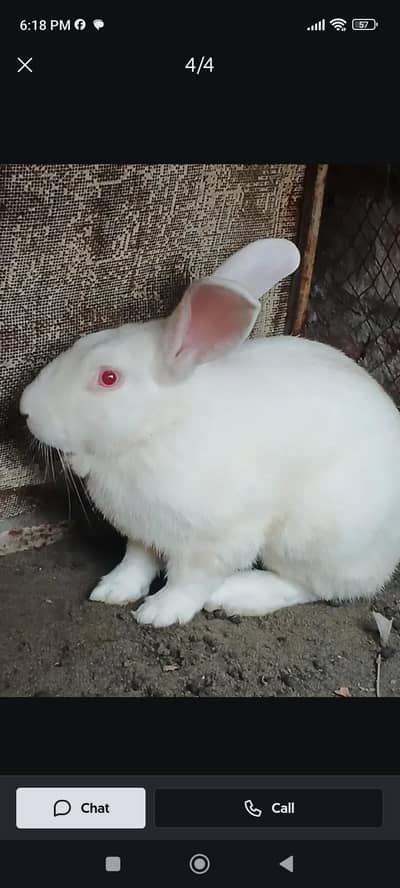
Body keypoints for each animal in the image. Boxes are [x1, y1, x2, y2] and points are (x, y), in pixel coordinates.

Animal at [19, 239, 400, 628]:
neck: (158, 428)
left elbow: (189, 581)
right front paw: (113, 590)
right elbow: (136, 560)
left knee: (314, 586)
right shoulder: (143, 530)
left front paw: (158, 613)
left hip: (313, 537)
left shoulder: (216, 540)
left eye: (108, 378)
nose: (25, 409)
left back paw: (236, 595)